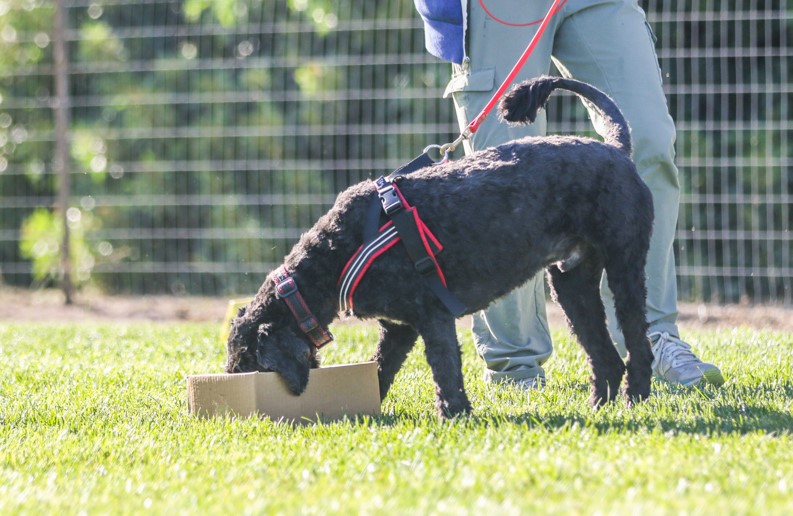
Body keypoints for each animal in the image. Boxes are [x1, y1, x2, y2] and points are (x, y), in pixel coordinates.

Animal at [226, 75, 652, 420]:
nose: (230, 387)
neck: (337, 252)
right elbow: (380, 369)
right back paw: (599, 407)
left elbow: (445, 367)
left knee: (636, 341)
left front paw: (454, 414)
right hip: (571, 284)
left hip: (625, 267)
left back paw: (635, 397)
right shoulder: (398, 328)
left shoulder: (432, 314)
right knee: (605, 356)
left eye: (246, 362)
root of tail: (616, 149)